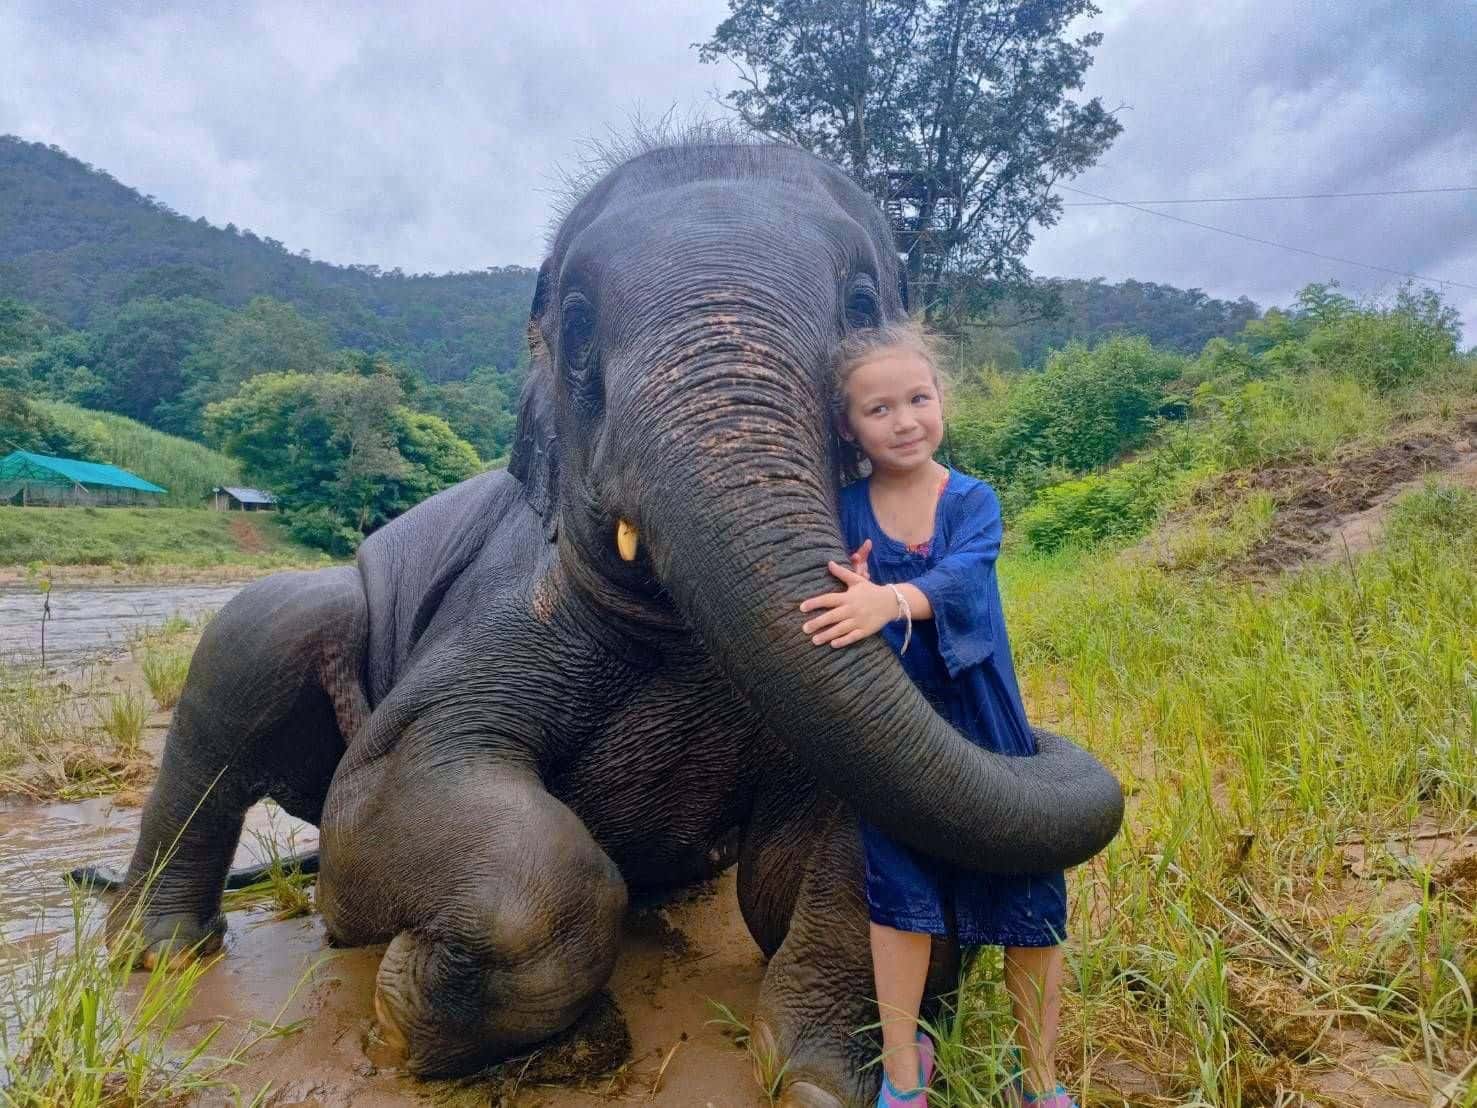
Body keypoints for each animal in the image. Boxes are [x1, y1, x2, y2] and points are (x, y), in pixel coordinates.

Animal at [97, 134, 1123, 1106]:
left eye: (863, 301)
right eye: (580, 322)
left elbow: (826, 858)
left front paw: (823, 1080)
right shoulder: (508, 604)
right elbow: (391, 793)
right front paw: (413, 1011)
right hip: (292, 624)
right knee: (259, 647)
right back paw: (162, 955)